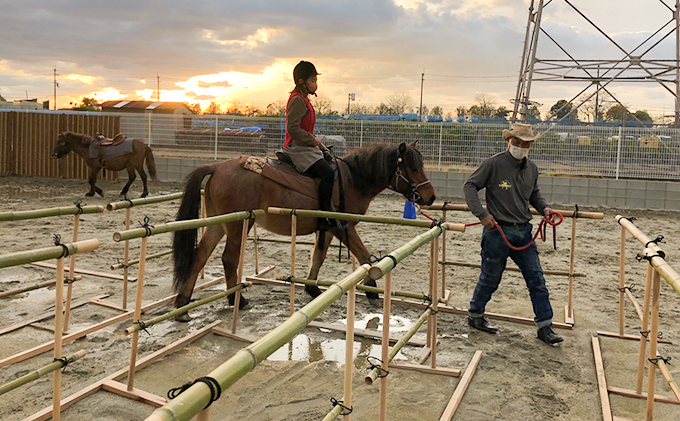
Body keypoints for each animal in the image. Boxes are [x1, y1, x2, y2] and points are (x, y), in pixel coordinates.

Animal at [170, 139, 436, 320]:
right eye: (413, 168)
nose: (431, 197)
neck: (352, 179)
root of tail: (217, 166)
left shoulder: (326, 230)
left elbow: (318, 256)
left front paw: (311, 287)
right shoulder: (343, 227)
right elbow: (363, 255)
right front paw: (371, 289)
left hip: (220, 223)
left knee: (200, 255)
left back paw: (183, 304)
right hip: (238, 225)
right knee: (228, 258)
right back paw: (237, 299)